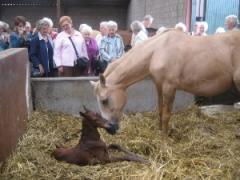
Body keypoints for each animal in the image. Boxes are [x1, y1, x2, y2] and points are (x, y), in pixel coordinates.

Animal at [89, 29, 240, 136]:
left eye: (104, 100)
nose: (110, 129)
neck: (158, 50)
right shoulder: (159, 85)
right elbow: (161, 111)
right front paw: (160, 131)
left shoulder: (169, 87)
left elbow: (167, 115)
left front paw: (164, 139)